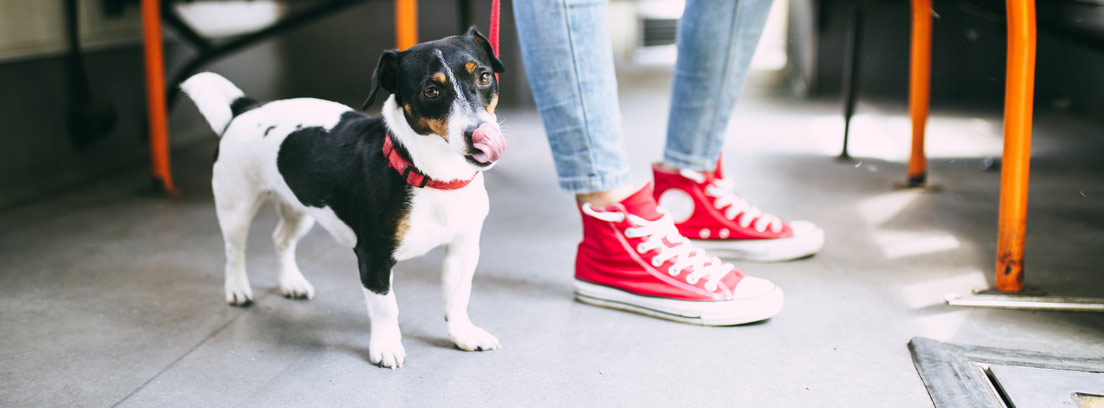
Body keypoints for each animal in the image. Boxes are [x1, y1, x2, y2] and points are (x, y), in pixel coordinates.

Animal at [182, 27, 507, 368]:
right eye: (431, 91)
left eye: (484, 77)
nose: (479, 135)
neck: (432, 177)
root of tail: (248, 107)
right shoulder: (373, 257)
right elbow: (386, 307)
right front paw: (386, 346)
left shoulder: (463, 248)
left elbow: (457, 296)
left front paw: (463, 334)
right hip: (236, 205)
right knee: (234, 250)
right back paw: (237, 289)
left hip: (301, 206)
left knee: (281, 239)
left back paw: (291, 283)